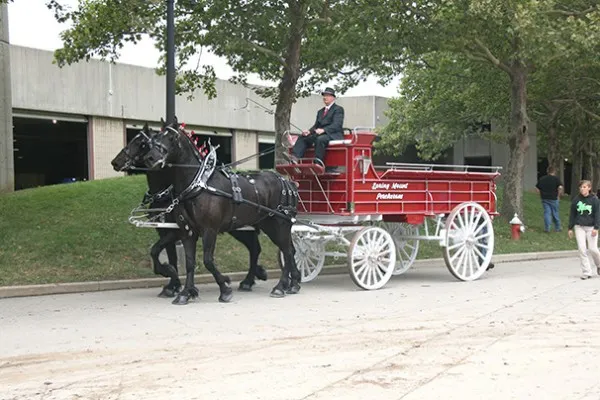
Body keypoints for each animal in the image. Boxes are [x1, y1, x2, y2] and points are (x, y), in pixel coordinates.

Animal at [109, 124, 268, 296]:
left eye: (142, 144)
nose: (115, 162)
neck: (166, 193)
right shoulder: (164, 230)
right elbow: (164, 254)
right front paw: (173, 283)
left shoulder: (175, 232)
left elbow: (158, 251)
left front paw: (172, 277)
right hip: (240, 228)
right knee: (254, 248)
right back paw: (251, 278)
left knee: (254, 249)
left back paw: (248, 280)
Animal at [139, 121, 300, 304]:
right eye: (155, 139)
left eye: (171, 138)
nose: (150, 158)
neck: (198, 186)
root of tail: (286, 182)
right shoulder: (186, 232)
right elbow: (188, 262)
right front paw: (185, 292)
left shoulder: (209, 230)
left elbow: (208, 260)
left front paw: (224, 288)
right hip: (265, 225)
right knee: (283, 250)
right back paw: (291, 283)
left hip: (278, 224)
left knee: (287, 251)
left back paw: (281, 286)